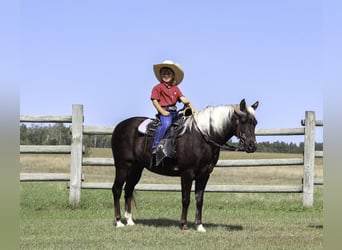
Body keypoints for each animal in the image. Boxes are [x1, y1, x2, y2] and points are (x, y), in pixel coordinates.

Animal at [111, 98, 258, 231]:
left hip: (136, 169)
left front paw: (199, 226)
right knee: (117, 189)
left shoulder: (204, 174)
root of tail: (120, 126)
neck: (203, 136)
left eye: (255, 123)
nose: (252, 146)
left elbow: (199, 199)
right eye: (243, 121)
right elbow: (186, 199)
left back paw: (130, 221)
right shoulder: (187, 173)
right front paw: (184, 225)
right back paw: (118, 222)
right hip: (123, 166)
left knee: (128, 190)